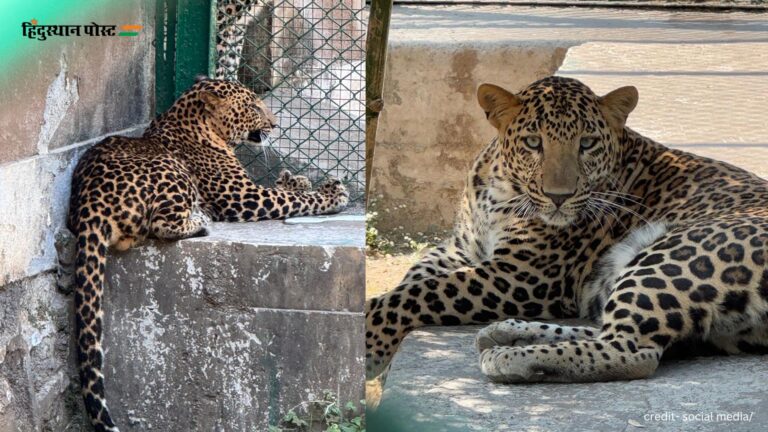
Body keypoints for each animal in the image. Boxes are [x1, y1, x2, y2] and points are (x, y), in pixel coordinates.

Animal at [67, 76, 350, 430]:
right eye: (254, 106)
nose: (275, 124)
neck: (198, 126)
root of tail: (90, 205)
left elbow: (285, 189)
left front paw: (294, 179)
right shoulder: (242, 197)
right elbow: (295, 201)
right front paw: (331, 193)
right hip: (171, 171)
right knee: (163, 224)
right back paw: (200, 220)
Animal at [364, 76, 768, 386]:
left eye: (587, 143)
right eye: (533, 142)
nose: (559, 197)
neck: (498, 187)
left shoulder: (522, 274)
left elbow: (416, 294)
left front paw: (369, 342)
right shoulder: (459, 248)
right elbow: (413, 279)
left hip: (675, 251)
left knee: (631, 348)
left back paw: (509, 357)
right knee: (615, 331)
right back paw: (508, 332)